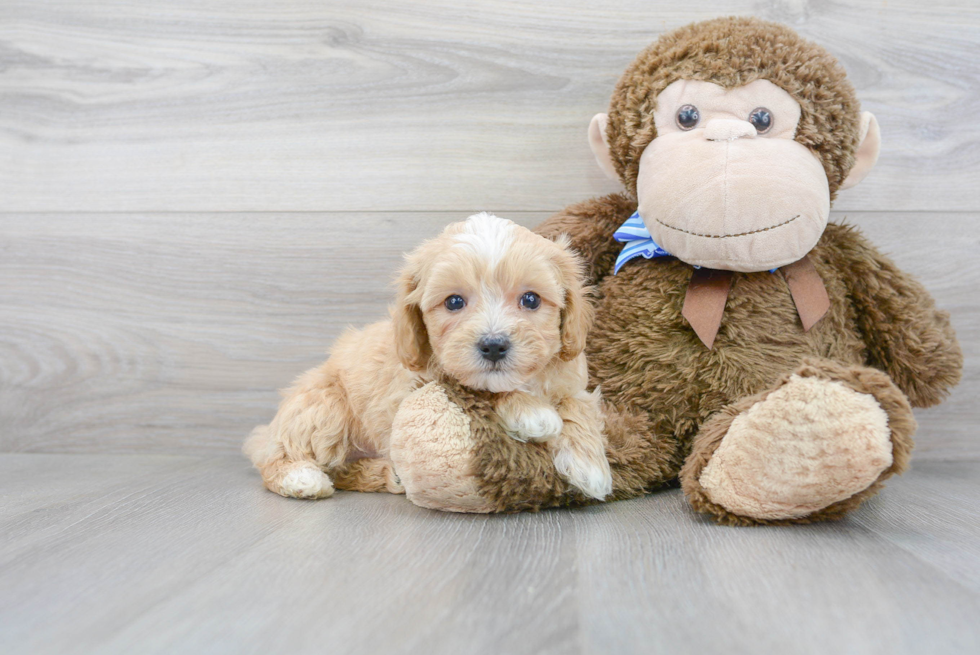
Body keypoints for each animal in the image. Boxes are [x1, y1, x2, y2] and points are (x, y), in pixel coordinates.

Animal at [245, 213, 612, 500]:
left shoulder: (571, 377)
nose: (494, 345)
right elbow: (473, 389)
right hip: (323, 408)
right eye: (454, 302)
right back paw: (301, 478)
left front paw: (589, 465)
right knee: (279, 455)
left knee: (341, 471)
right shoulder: (416, 387)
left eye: (531, 299)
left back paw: (387, 474)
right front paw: (532, 413)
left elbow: (577, 405)